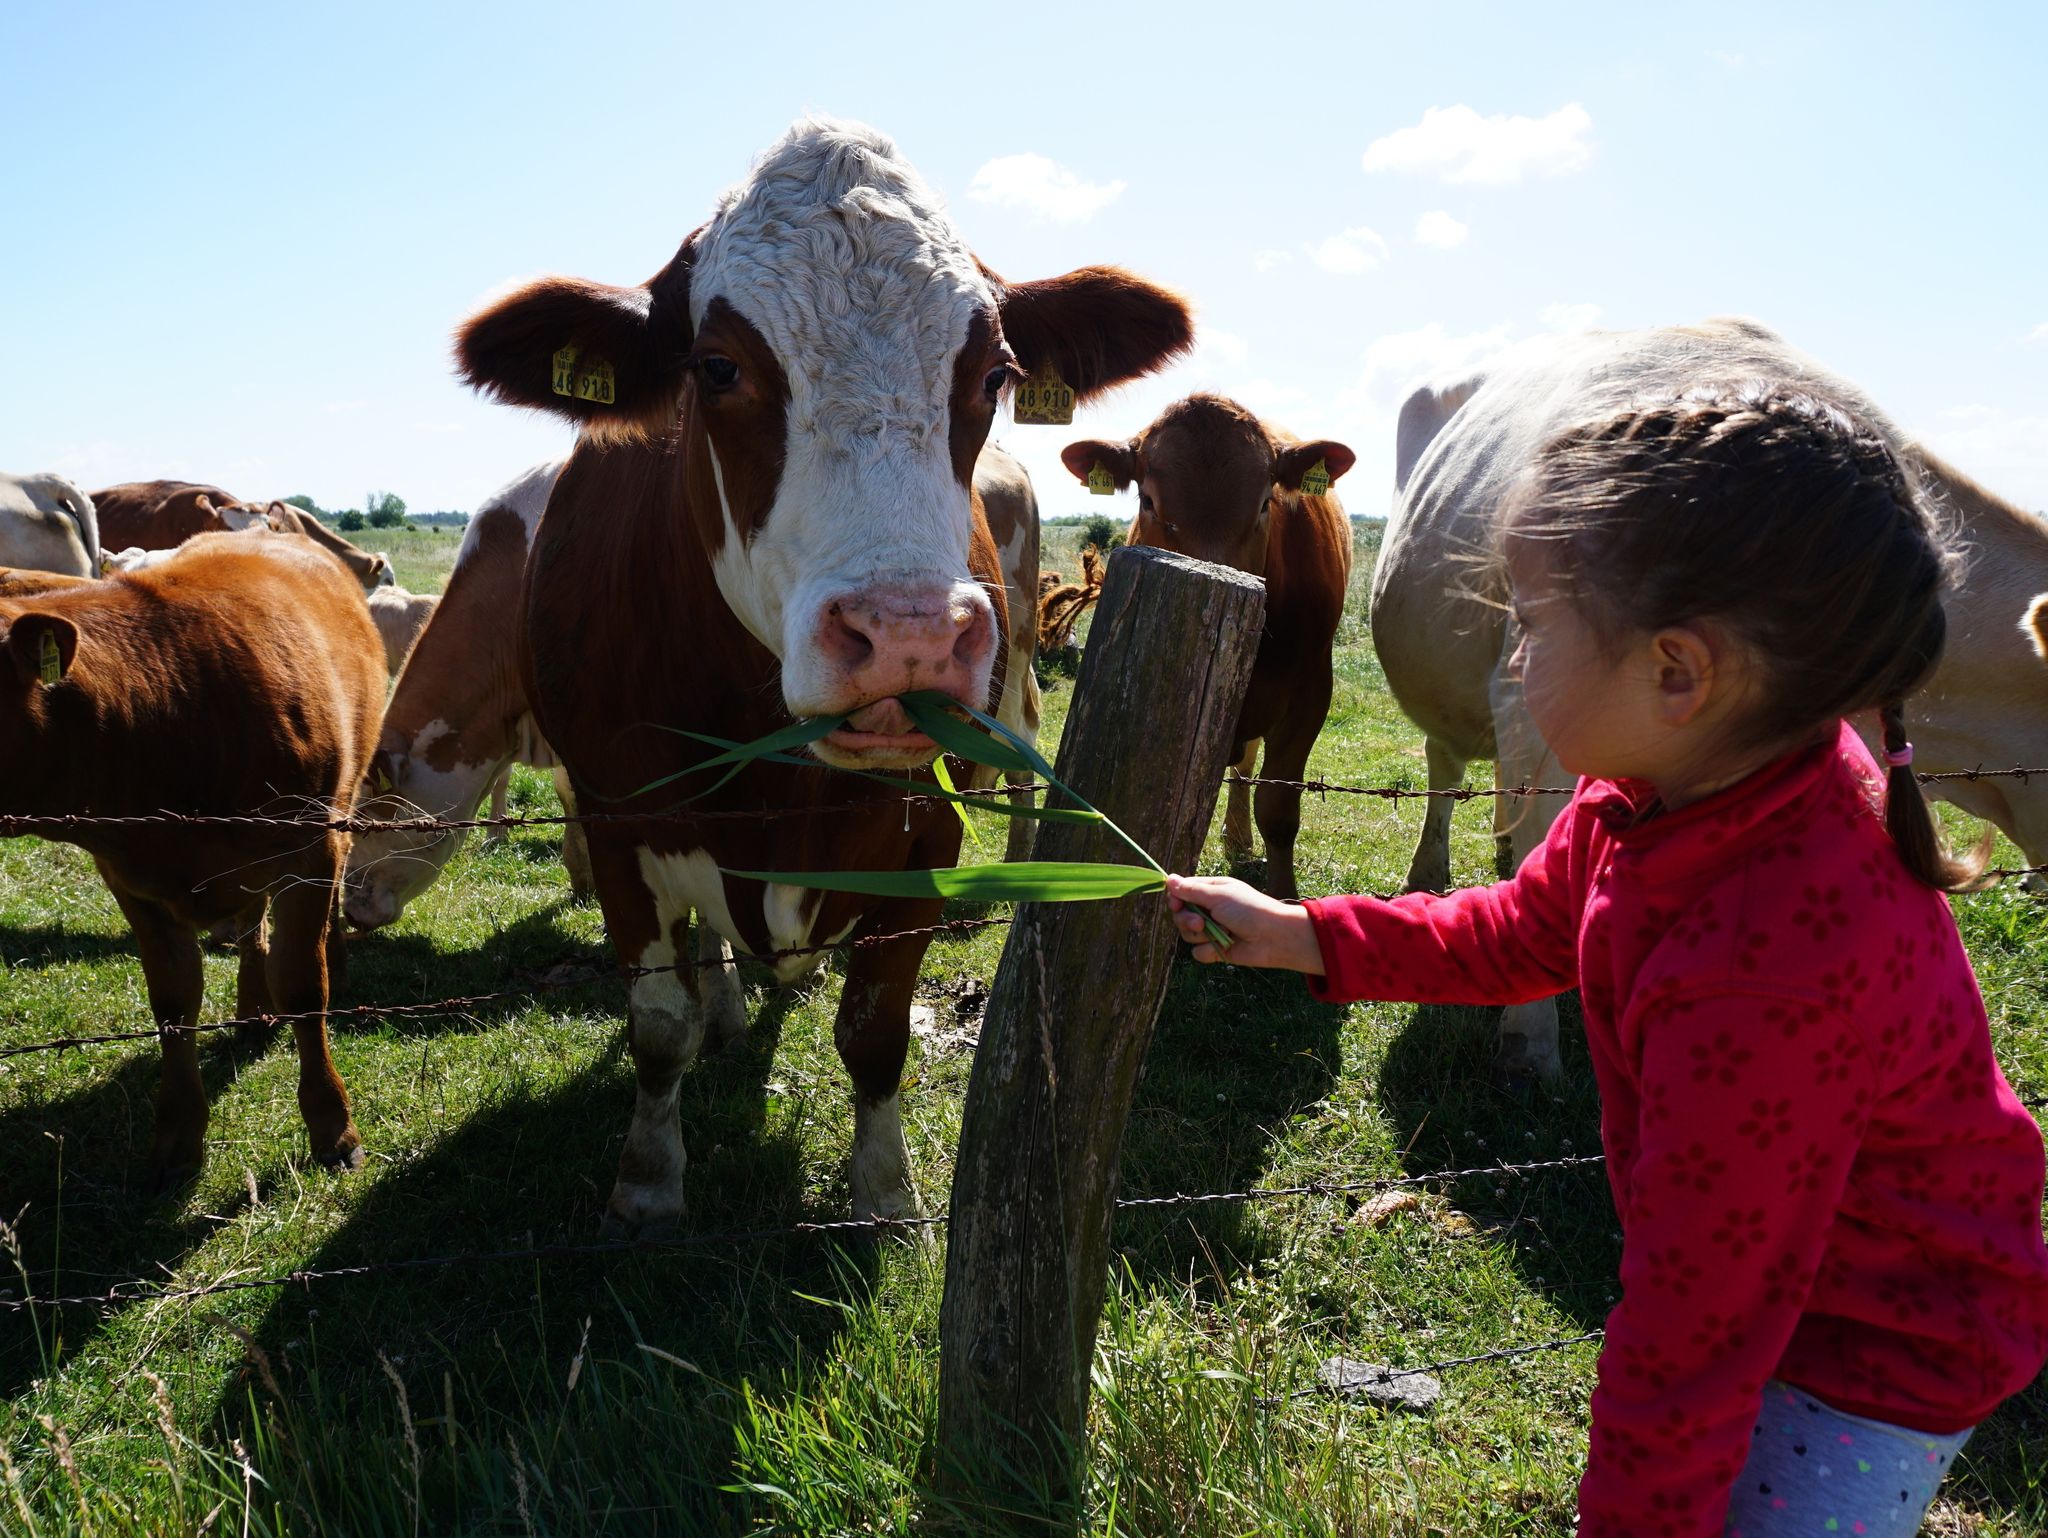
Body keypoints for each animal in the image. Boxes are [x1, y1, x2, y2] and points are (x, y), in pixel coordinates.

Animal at [0, 536, 385, 1187]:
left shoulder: (308, 848)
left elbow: (304, 986)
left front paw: (333, 1127)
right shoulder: (134, 883)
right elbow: (174, 1004)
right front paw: (178, 1135)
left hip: (342, 806)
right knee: (253, 926)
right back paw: (252, 1010)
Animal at [448, 114, 1187, 1236]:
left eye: (994, 374)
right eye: (716, 367)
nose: (909, 636)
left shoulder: (926, 831)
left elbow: (875, 1032)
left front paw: (883, 1191)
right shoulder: (616, 818)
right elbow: (655, 1020)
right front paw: (648, 1180)